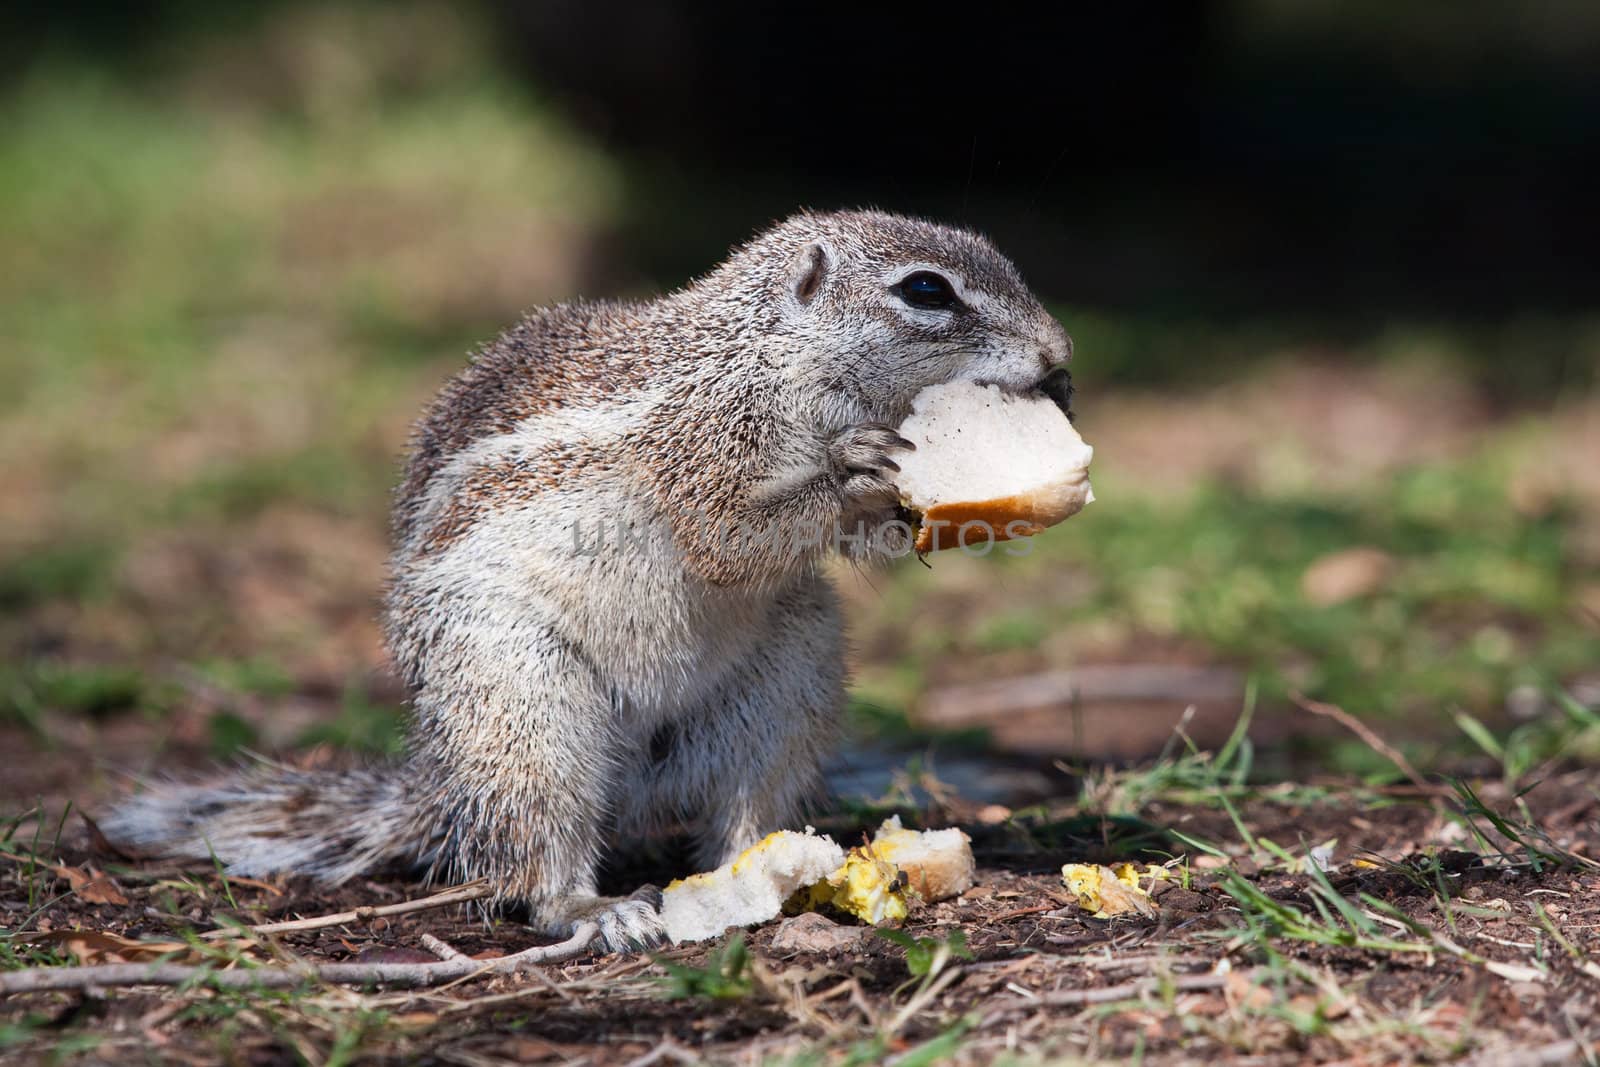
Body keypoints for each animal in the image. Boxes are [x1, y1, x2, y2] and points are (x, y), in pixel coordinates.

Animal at [103, 207, 1075, 953]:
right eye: (926, 291)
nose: (1062, 360)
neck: (770, 350)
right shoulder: (706, 441)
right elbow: (727, 536)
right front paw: (856, 474)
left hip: (790, 675)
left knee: (742, 798)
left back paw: (779, 863)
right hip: (518, 702)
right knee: (537, 852)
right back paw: (597, 908)